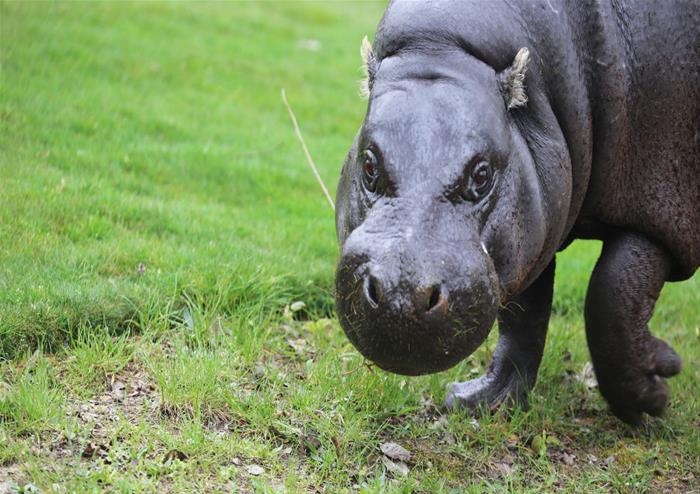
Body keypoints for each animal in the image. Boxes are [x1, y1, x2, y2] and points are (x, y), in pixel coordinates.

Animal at [336, 0, 696, 424]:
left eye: (482, 175)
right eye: (369, 165)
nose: (401, 294)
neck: (444, 47)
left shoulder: (659, 205)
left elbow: (611, 296)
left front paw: (653, 395)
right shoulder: (533, 226)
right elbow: (526, 316)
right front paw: (484, 402)